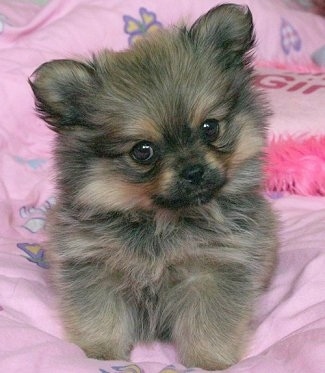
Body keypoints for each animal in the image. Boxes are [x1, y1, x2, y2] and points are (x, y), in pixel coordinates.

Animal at [30, 3, 278, 370]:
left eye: (210, 127)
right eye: (143, 151)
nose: (194, 171)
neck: (161, 221)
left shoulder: (216, 270)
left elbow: (210, 326)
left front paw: (208, 363)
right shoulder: (94, 267)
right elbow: (100, 319)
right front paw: (101, 356)